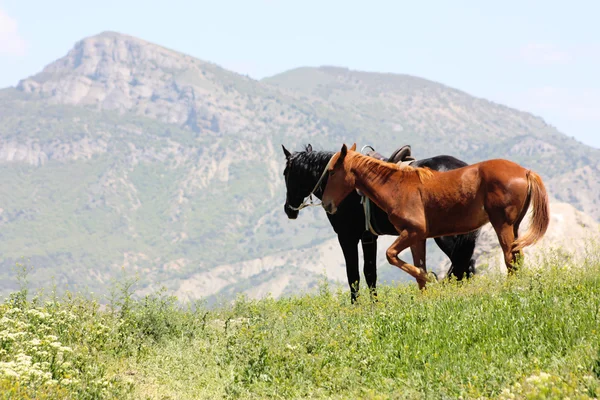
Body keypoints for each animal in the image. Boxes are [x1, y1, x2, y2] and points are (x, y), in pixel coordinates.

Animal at [282, 145, 482, 304]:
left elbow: (353, 274)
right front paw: (374, 305)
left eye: (285, 174)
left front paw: (356, 307)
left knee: (462, 263)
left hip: (447, 236)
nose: (288, 209)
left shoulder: (347, 237)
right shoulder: (369, 237)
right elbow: (370, 273)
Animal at [324, 144, 548, 288]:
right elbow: (417, 268)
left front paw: (431, 279)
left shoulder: (412, 232)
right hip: (514, 226)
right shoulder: (417, 238)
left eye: (333, 171)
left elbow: (391, 255)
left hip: (502, 225)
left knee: (509, 259)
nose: (327, 203)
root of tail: (525, 171)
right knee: (516, 258)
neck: (397, 186)